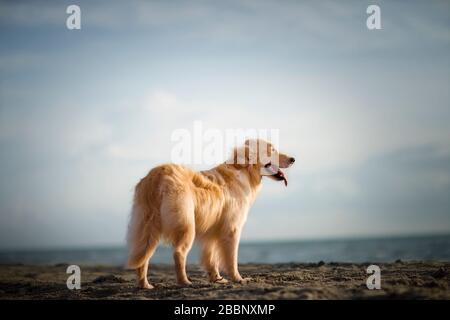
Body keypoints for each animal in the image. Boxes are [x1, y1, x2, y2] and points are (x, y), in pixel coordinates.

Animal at [126, 139, 296, 288]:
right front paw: (238, 279)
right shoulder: (232, 229)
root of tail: (156, 176)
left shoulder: (212, 231)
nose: (293, 159)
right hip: (187, 226)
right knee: (178, 253)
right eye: (271, 149)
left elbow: (211, 258)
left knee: (143, 257)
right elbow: (232, 259)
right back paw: (184, 282)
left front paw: (217, 279)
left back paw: (145, 285)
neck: (244, 170)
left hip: (148, 227)